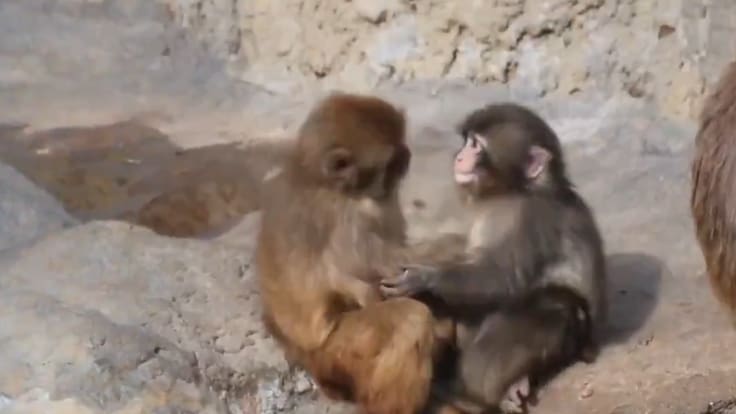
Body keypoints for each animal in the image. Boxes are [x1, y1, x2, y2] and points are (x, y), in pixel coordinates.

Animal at [255, 92, 468, 414]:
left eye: (402, 145)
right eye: (391, 161)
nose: (407, 155)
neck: (317, 179)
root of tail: (301, 353)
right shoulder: (352, 217)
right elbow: (373, 273)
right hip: (339, 351)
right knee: (410, 319)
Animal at [380, 103, 607, 413]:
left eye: (476, 145)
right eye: (467, 141)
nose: (460, 156)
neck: (514, 191)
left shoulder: (529, 218)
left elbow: (501, 280)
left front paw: (424, 277)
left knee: (555, 302)